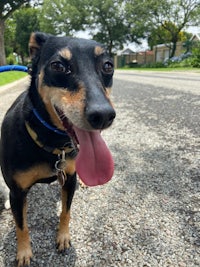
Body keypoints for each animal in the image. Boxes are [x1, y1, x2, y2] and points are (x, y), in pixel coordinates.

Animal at [0, 33, 115, 267]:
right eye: (58, 66)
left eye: (108, 66)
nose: (103, 115)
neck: (51, 141)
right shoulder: (17, 192)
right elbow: (21, 225)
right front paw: (23, 253)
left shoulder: (69, 179)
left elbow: (65, 211)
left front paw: (63, 237)